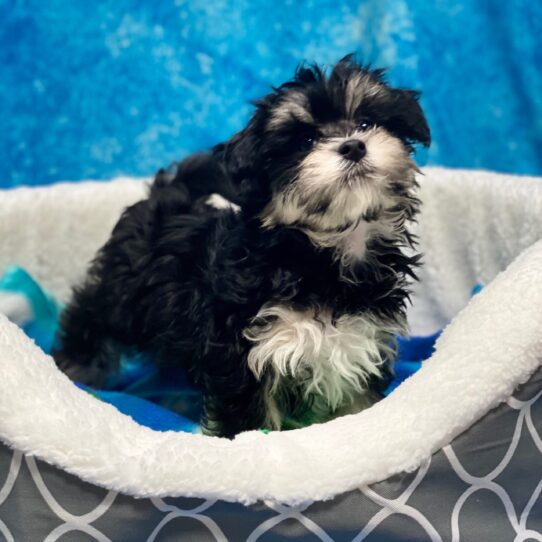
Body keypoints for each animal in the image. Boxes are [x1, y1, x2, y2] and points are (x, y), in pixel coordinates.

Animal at [54, 56, 430, 438]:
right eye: (305, 142)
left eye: (367, 122)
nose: (353, 145)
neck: (321, 252)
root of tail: (170, 195)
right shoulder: (243, 354)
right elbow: (249, 422)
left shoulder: (363, 343)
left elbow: (358, 408)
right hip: (125, 298)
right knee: (91, 315)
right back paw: (76, 367)